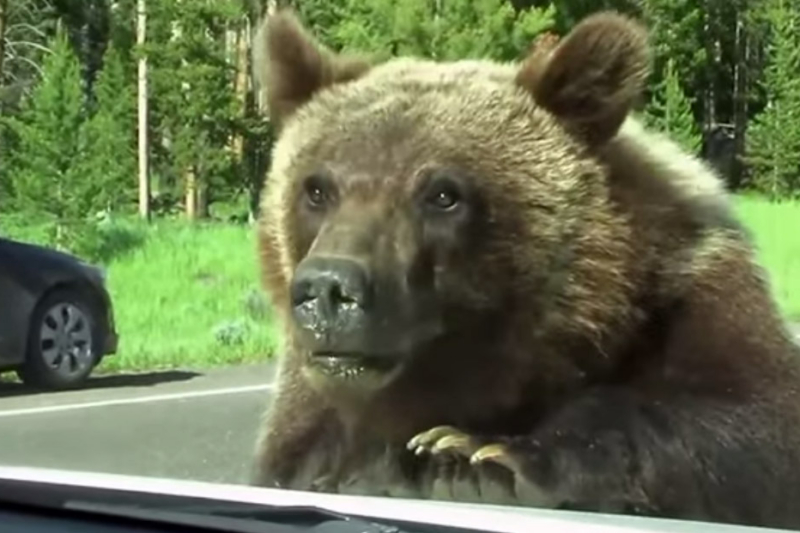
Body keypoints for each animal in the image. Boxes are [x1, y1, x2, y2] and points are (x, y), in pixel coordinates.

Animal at [249, 7, 800, 530]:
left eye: (443, 194)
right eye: (316, 188)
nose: (328, 289)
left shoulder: (695, 293)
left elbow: (750, 422)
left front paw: (475, 453)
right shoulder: (313, 394)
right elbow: (300, 455)